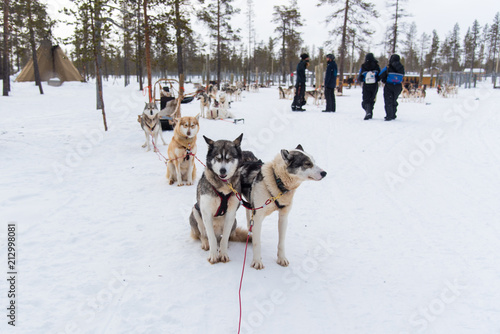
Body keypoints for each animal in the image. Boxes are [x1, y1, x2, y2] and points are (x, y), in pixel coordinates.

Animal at [189, 134, 248, 264]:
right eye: (217, 158)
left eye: (229, 158)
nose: (222, 170)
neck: (223, 186)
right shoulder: (206, 213)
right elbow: (210, 237)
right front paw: (213, 255)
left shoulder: (231, 214)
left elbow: (224, 239)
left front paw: (223, 253)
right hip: (195, 211)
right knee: (203, 235)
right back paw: (206, 243)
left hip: (234, 221)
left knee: (221, 239)